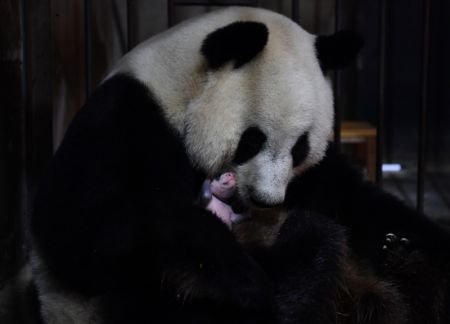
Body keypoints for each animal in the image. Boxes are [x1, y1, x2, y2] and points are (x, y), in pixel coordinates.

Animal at [29, 5, 366, 324]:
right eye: (252, 141)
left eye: (300, 148)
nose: (265, 200)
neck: (178, 88)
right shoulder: (126, 117)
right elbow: (81, 228)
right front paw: (242, 276)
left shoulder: (317, 177)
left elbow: (348, 193)